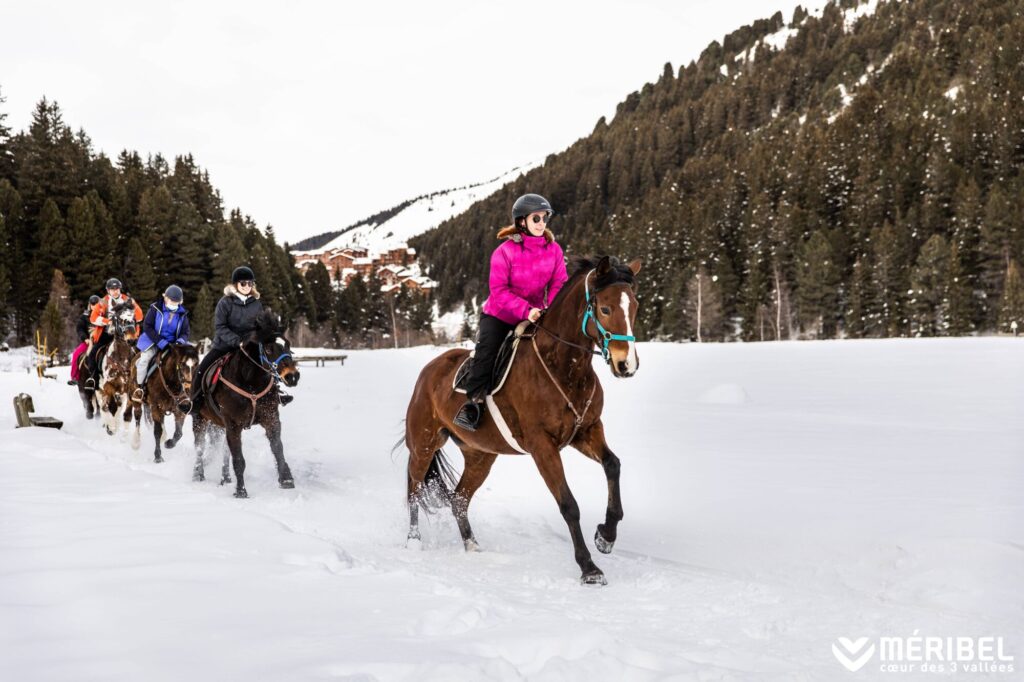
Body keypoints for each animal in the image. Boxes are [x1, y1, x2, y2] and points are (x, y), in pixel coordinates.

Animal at [191, 310, 301, 498]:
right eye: (269, 348)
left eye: (288, 344)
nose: (292, 376)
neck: (250, 382)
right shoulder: (233, 425)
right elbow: (239, 459)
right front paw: (241, 491)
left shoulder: (271, 418)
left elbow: (278, 449)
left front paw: (286, 479)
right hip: (200, 419)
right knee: (200, 447)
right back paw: (198, 474)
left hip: (220, 426)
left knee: (224, 452)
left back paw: (225, 478)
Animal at [401, 255, 641, 585]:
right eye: (605, 308)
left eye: (635, 306)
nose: (626, 364)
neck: (564, 366)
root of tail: (430, 369)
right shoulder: (542, 446)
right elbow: (569, 505)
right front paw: (589, 568)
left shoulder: (586, 431)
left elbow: (613, 465)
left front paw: (606, 535)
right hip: (424, 443)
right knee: (414, 488)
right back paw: (413, 540)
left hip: (480, 456)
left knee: (459, 499)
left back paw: (472, 545)